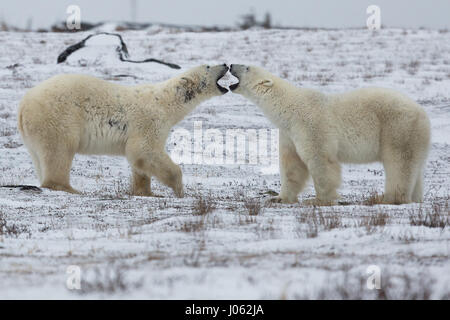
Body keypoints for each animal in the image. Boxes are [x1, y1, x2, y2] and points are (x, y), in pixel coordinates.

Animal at [18, 64, 230, 196]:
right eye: (208, 66)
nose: (225, 64)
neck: (166, 102)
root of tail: (24, 104)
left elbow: (140, 160)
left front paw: (146, 192)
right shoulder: (149, 121)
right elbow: (145, 150)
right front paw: (178, 188)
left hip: (33, 133)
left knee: (41, 156)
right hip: (58, 117)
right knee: (60, 150)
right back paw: (68, 188)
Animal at [230, 65, 430, 205]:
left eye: (247, 67)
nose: (231, 64)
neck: (290, 107)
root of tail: (422, 113)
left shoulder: (311, 125)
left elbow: (320, 160)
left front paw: (319, 200)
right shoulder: (289, 133)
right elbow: (292, 165)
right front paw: (279, 198)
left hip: (398, 128)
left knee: (399, 163)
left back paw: (388, 198)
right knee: (414, 168)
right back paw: (415, 197)